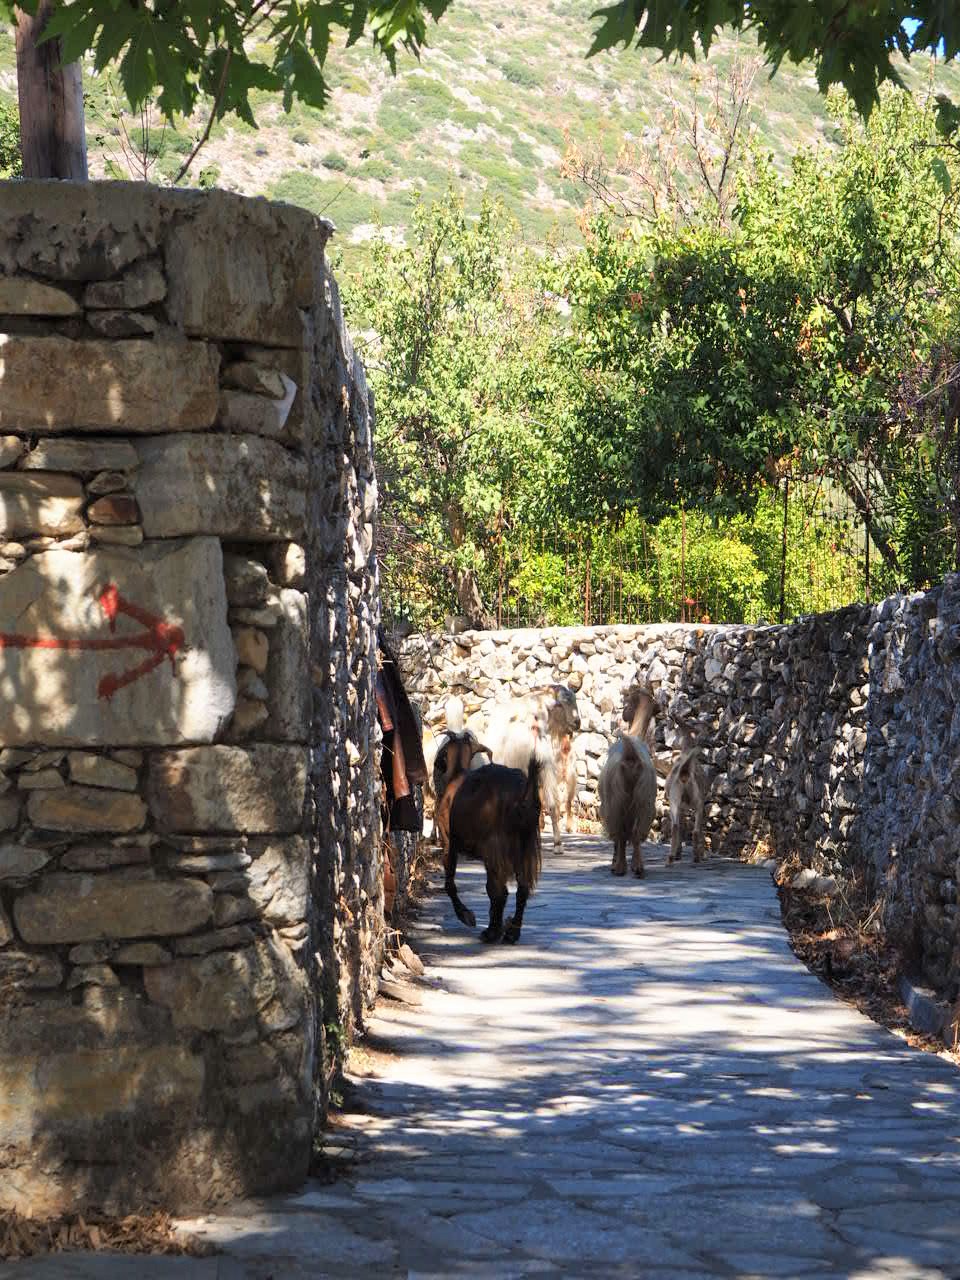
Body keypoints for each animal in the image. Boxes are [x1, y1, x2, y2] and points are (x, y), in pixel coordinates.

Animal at [450, 752, 545, 947]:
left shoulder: (451, 842)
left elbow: (450, 882)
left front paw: (465, 915)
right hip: (524, 852)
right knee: (522, 890)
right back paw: (511, 933)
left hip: (495, 850)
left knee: (497, 891)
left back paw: (492, 932)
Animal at [601, 691, 660, 880]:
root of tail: (631, 755)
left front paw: (614, 862)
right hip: (645, 801)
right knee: (636, 834)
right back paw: (638, 867)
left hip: (614, 802)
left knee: (620, 834)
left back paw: (619, 867)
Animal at [665, 727, 711, 865]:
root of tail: (684, 773)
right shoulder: (694, 804)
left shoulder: (680, 806)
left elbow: (682, 826)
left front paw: (678, 853)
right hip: (696, 802)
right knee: (695, 830)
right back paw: (697, 856)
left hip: (675, 801)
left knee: (676, 826)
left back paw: (671, 858)